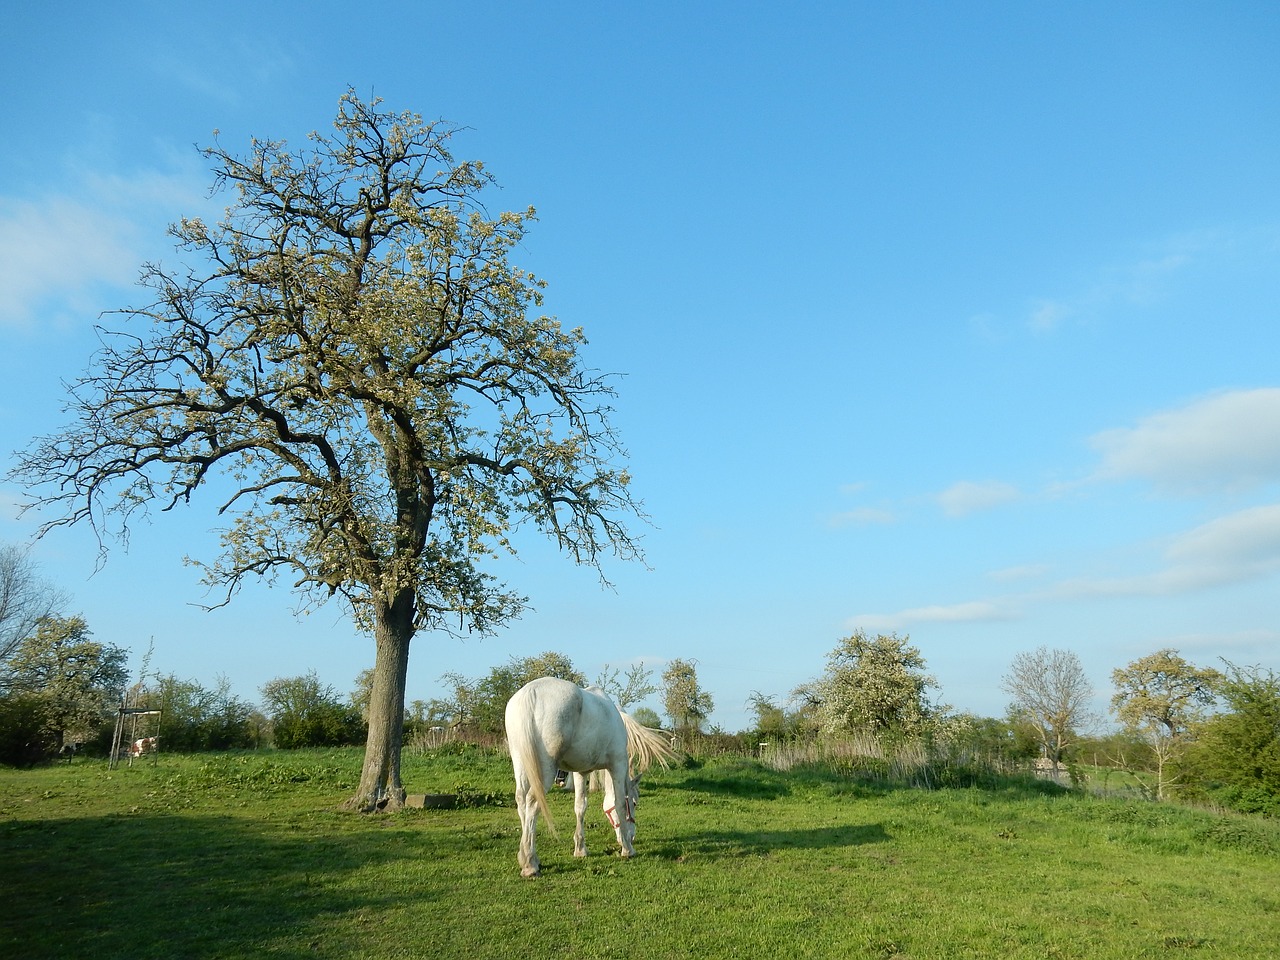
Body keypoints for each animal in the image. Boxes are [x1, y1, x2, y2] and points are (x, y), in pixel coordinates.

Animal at [504, 675, 675, 880]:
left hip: (521, 764)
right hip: (545, 769)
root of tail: (530, 693)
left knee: (522, 802)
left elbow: (580, 807)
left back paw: (529, 856)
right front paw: (627, 849)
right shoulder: (617, 765)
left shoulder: (580, 772)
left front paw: (580, 849)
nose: (632, 836)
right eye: (634, 803)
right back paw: (530, 864)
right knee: (532, 803)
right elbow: (618, 803)